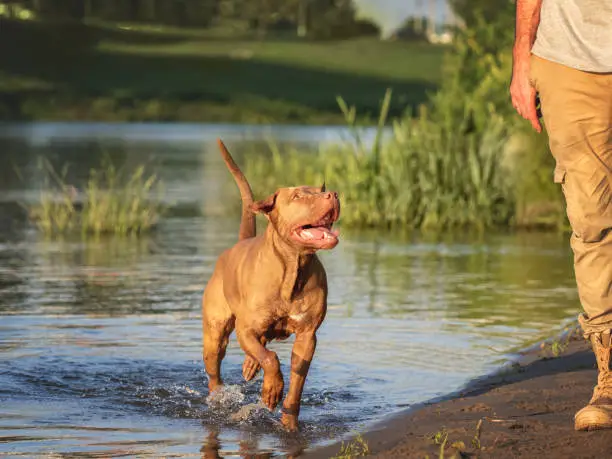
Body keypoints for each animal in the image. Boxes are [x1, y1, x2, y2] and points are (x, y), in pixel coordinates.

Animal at [203, 138, 342, 434]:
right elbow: (271, 359)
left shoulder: (307, 336)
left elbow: (296, 385)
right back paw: (219, 396)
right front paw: (272, 390)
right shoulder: (246, 329)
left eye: (320, 190)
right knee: (215, 371)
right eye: (299, 196)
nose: (334, 194)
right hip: (215, 334)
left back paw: (250, 366)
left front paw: (289, 422)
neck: (293, 267)